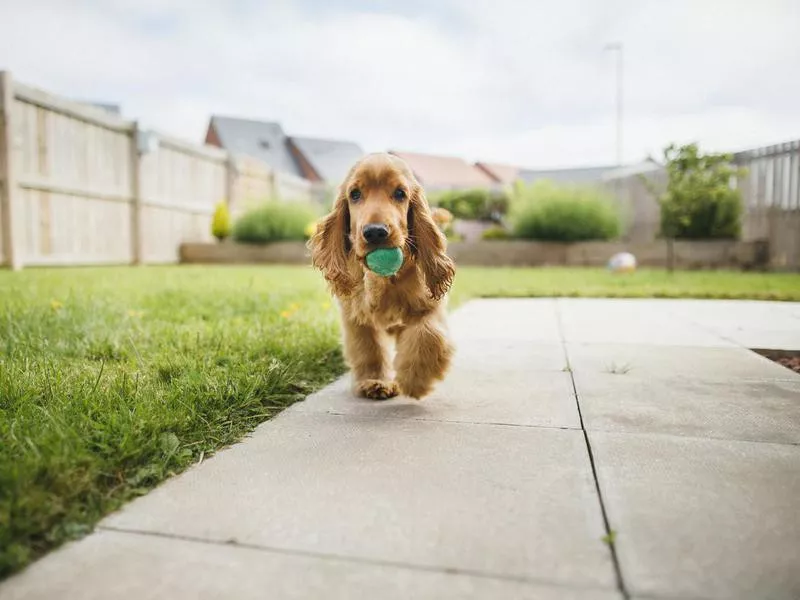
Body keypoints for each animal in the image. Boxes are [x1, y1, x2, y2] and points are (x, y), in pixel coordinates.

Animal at [308, 152, 454, 400]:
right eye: (355, 194)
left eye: (400, 193)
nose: (375, 232)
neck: (385, 280)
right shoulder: (356, 315)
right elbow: (369, 348)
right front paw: (376, 381)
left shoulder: (430, 305)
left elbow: (427, 334)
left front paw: (415, 380)